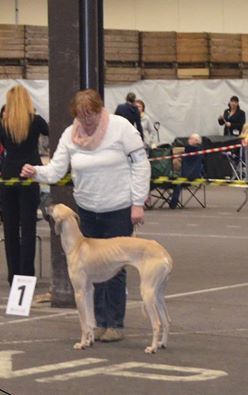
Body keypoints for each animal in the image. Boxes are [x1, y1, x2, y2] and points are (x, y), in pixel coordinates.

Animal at [50, 206, 172, 354]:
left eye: (53, 207)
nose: (46, 206)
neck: (77, 244)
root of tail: (164, 253)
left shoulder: (79, 292)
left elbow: (83, 323)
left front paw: (82, 344)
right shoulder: (89, 289)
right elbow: (90, 320)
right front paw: (89, 341)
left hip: (147, 292)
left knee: (157, 323)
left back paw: (152, 347)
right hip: (158, 293)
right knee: (166, 320)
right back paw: (162, 344)